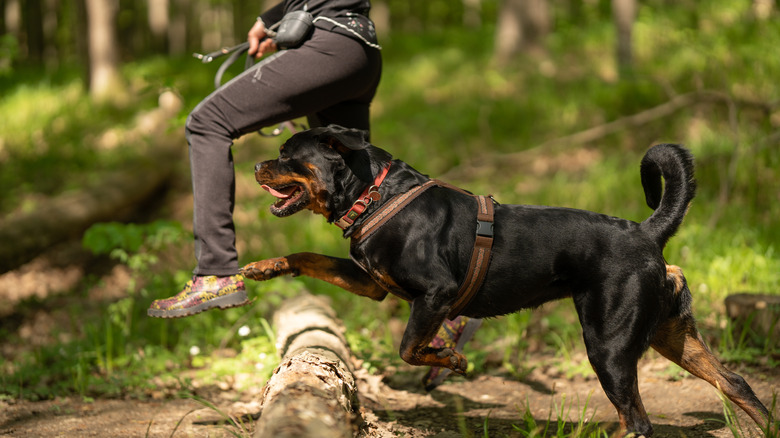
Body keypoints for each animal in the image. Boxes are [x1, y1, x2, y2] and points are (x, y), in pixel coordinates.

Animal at [241, 124, 772, 434]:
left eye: (287, 154)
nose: (254, 164)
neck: (374, 195)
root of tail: (646, 233)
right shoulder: (371, 282)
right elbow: (309, 256)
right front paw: (264, 267)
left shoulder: (435, 295)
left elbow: (410, 347)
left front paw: (451, 358)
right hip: (670, 333)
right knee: (735, 383)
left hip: (609, 345)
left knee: (639, 420)